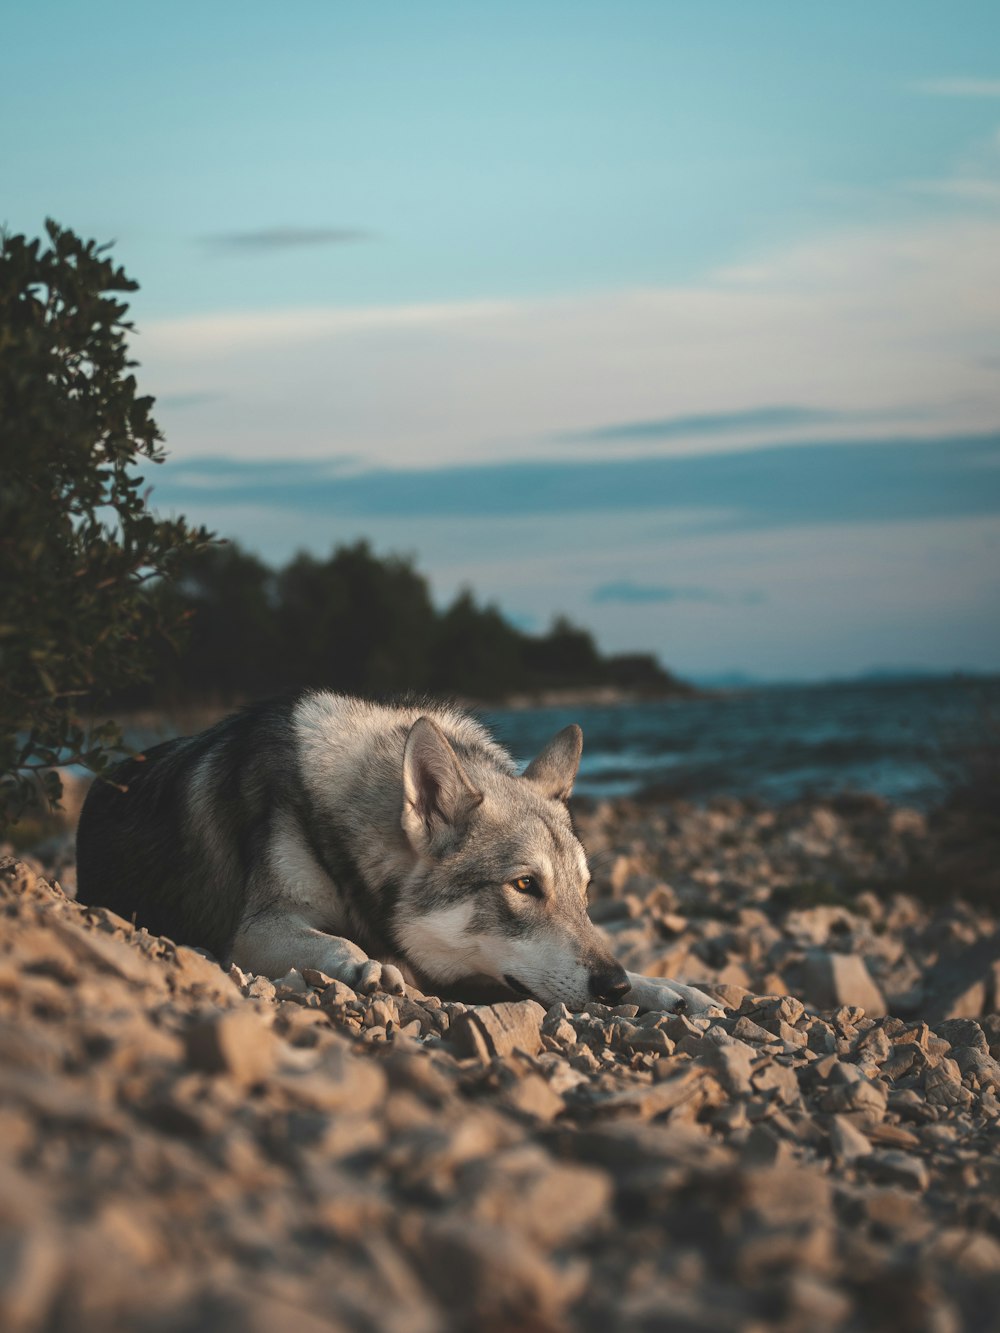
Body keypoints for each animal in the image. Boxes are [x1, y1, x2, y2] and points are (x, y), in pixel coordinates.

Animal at [76, 693, 720, 1013]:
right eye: (525, 886)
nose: (612, 989)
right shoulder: (253, 929)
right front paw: (366, 964)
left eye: (586, 894)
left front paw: (669, 989)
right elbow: (336, 943)